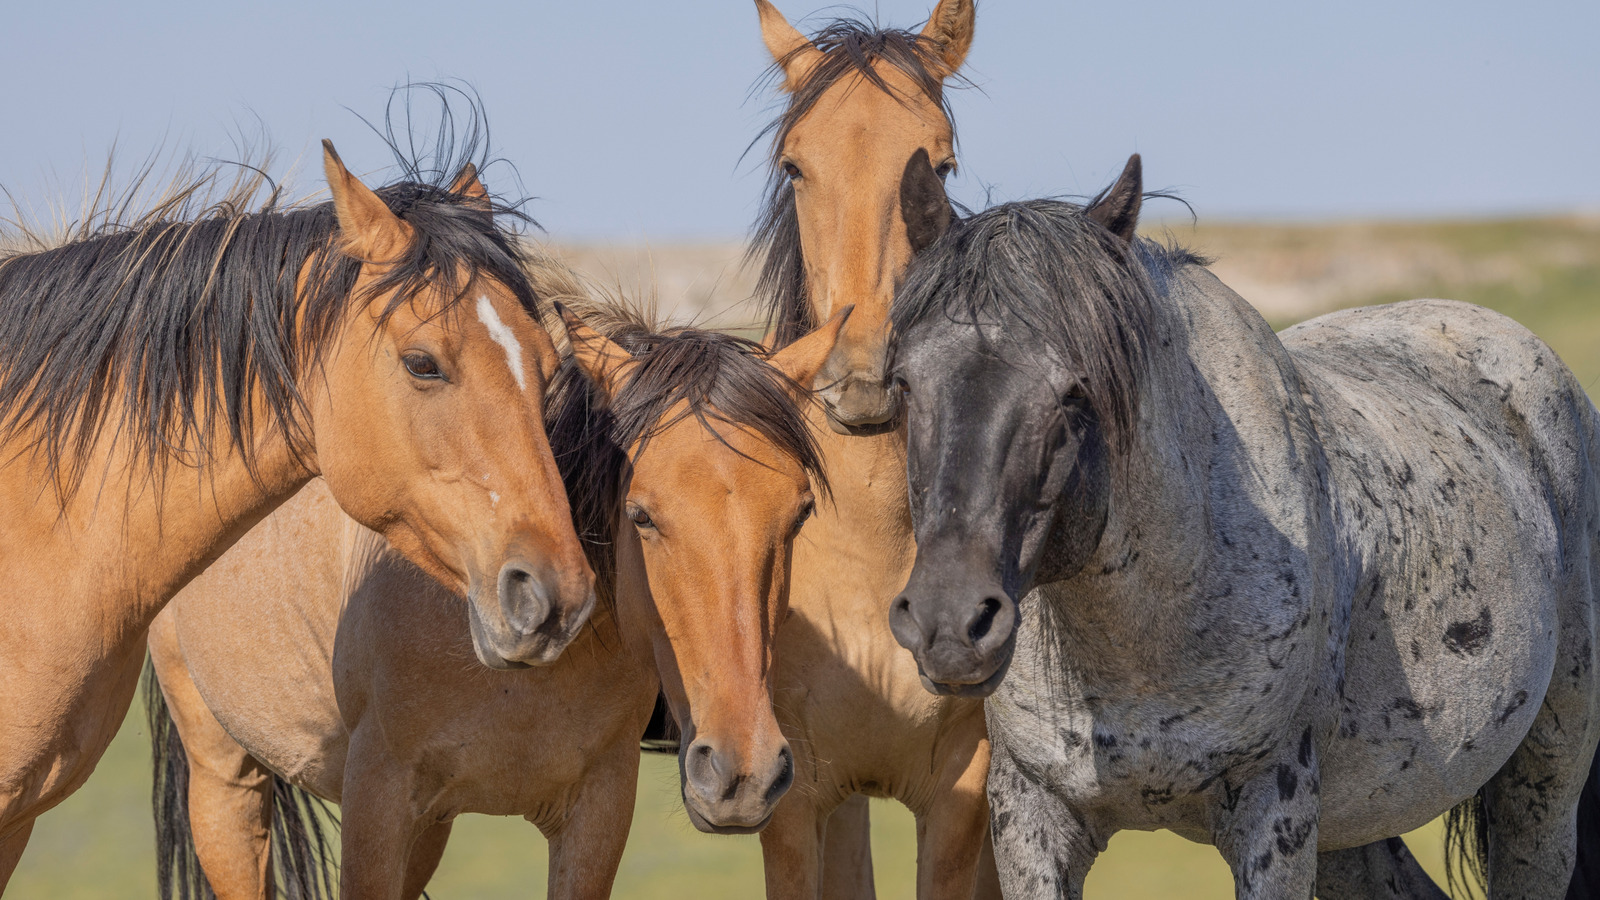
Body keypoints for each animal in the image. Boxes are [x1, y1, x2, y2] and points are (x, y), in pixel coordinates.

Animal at [143, 284, 850, 899]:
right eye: (643, 516)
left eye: (800, 514)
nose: (743, 774)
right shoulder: (377, 804)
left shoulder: (595, 813)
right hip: (225, 783)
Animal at [887, 154, 1600, 898]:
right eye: (904, 383)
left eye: (1077, 390)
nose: (948, 624)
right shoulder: (1031, 817)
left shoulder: (1273, 814)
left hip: (1546, 771)